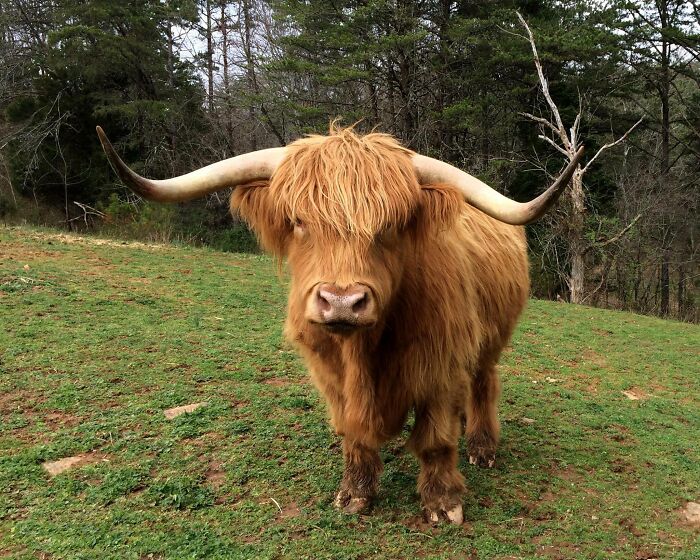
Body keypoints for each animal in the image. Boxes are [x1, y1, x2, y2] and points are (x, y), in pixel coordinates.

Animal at [97, 124, 583, 524]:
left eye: (391, 225)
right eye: (298, 221)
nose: (343, 302)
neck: (365, 354)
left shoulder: (440, 367)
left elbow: (435, 440)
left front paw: (443, 503)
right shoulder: (330, 373)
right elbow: (353, 432)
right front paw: (355, 494)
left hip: (490, 341)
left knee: (483, 384)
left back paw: (482, 448)